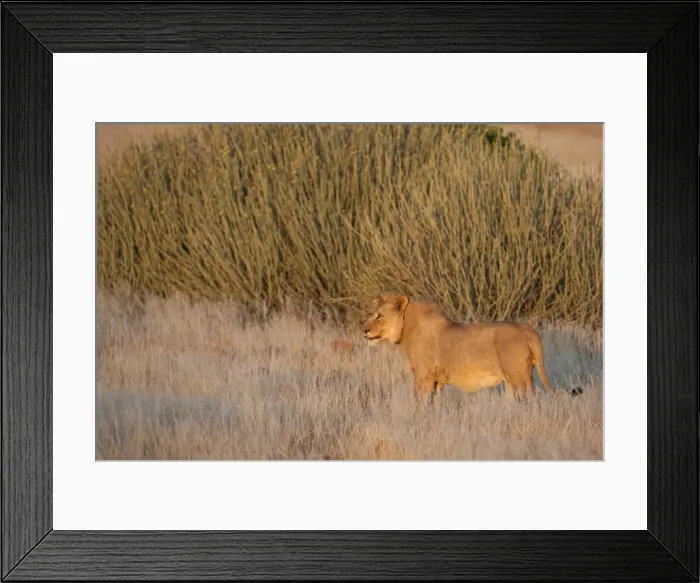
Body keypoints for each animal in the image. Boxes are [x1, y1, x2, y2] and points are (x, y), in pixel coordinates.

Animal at [361, 293, 583, 402]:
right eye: (372, 313)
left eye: (379, 316)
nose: (363, 330)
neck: (408, 329)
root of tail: (528, 328)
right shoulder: (436, 381)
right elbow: (434, 404)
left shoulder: (422, 377)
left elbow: (419, 404)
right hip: (513, 381)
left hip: (520, 378)